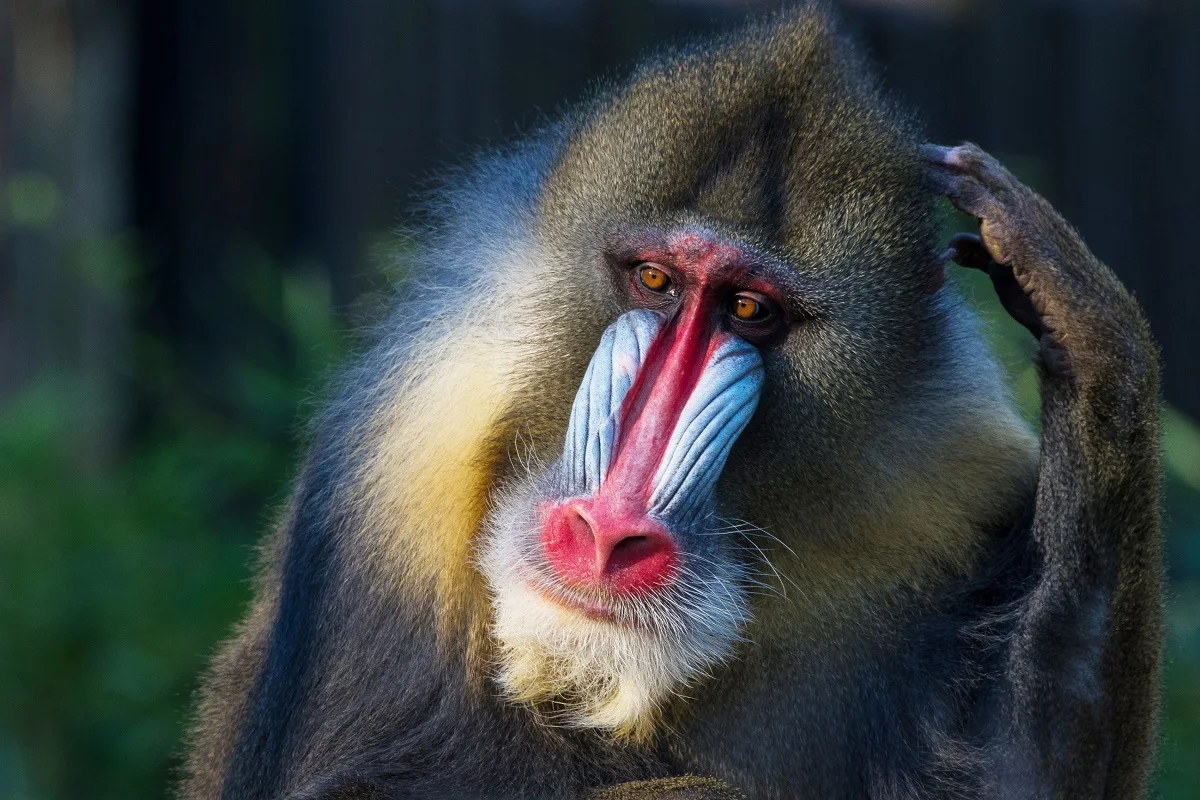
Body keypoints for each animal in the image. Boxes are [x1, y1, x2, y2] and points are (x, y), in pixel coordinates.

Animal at [181, 5, 1162, 799]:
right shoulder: (401, 477)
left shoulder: (954, 483)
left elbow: (1016, 772)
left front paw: (1080, 318)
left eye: (749, 310)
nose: (608, 536)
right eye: (654, 280)